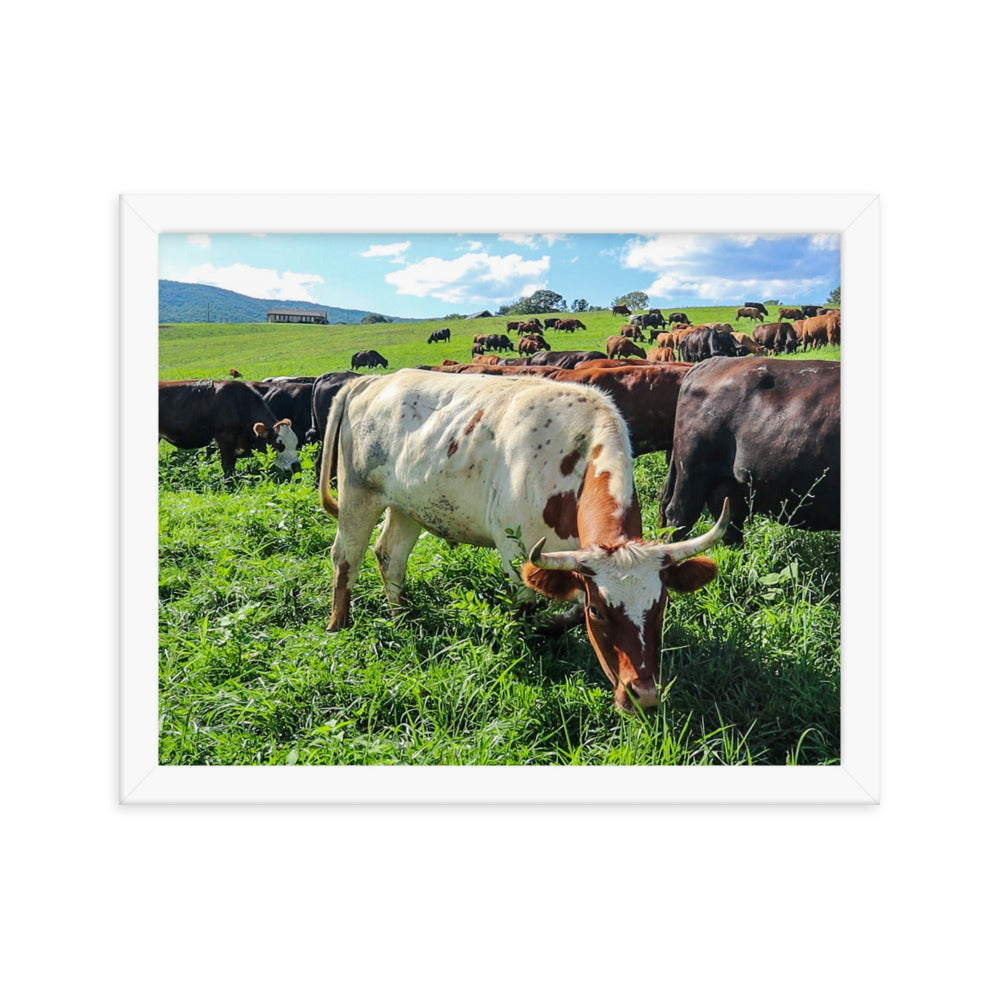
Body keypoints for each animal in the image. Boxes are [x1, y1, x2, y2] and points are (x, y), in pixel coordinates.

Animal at [319, 369, 728, 711]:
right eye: (600, 612)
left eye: (661, 606)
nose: (643, 696)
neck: (574, 458)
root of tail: (372, 381)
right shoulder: (516, 552)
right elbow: (527, 610)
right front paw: (527, 645)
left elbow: (568, 610)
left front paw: (552, 627)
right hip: (358, 495)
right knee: (345, 558)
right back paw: (338, 626)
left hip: (407, 507)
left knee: (390, 556)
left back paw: (402, 616)